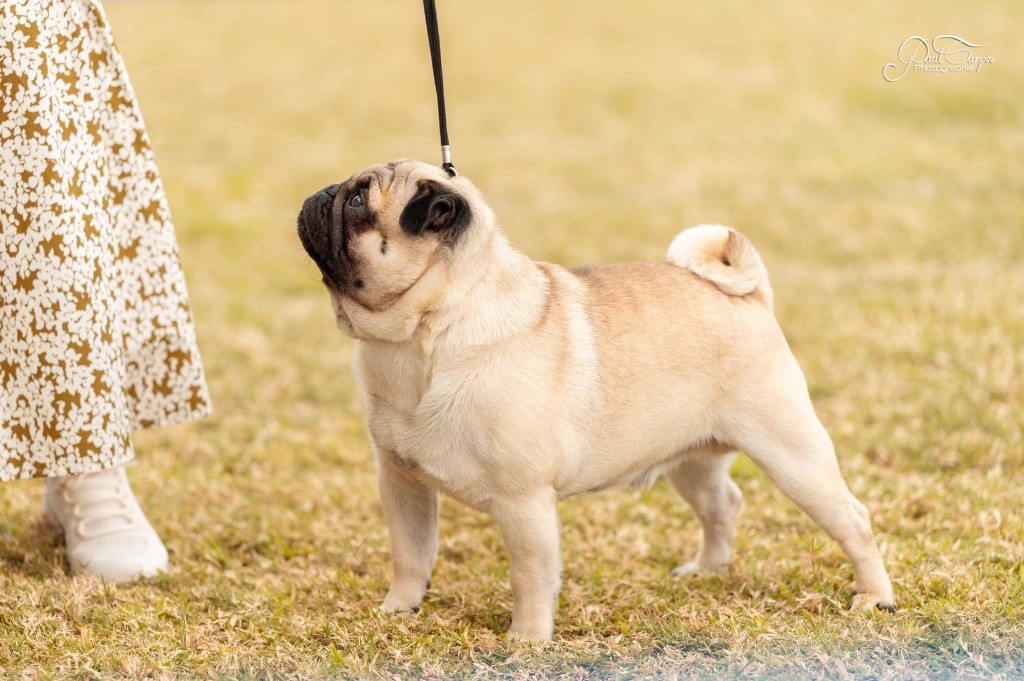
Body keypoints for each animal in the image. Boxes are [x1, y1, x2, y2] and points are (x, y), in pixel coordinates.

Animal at [294, 159, 888, 643]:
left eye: (358, 202)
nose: (322, 193)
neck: (421, 336)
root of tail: (749, 295)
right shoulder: (403, 484)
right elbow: (411, 556)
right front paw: (398, 611)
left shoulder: (524, 502)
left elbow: (530, 577)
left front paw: (527, 641)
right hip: (690, 460)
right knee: (723, 505)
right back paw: (709, 571)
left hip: (792, 454)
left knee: (853, 519)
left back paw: (874, 598)